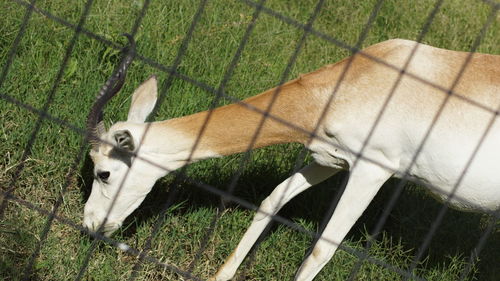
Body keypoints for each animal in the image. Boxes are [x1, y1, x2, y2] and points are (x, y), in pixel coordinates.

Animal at [83, 37, 500, 280]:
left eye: (103, 173)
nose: (89, 224)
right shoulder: (330, 159)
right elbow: (272, 200)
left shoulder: (372, 170)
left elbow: (322, 249)